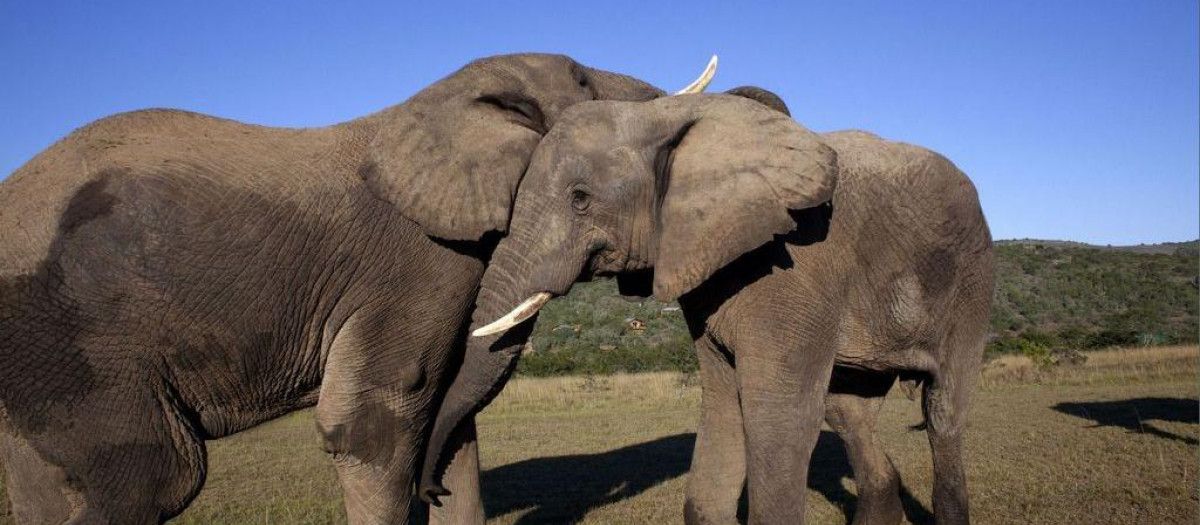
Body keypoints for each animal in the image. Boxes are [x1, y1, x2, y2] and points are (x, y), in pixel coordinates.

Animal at [0, 53, 718, 524]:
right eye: (582, 81)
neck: (433, 99)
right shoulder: (416, 263)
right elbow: (376, 420)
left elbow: (451, 415)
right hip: (73, 338)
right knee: (155, 477)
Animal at [420, 92, 994, 524]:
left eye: (580, 199)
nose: (433, 492)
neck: (666, 115)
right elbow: (722, 406)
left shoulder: (795, 274)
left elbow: (777, 417)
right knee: (848, 412)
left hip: (969, 284)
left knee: (943, 411)